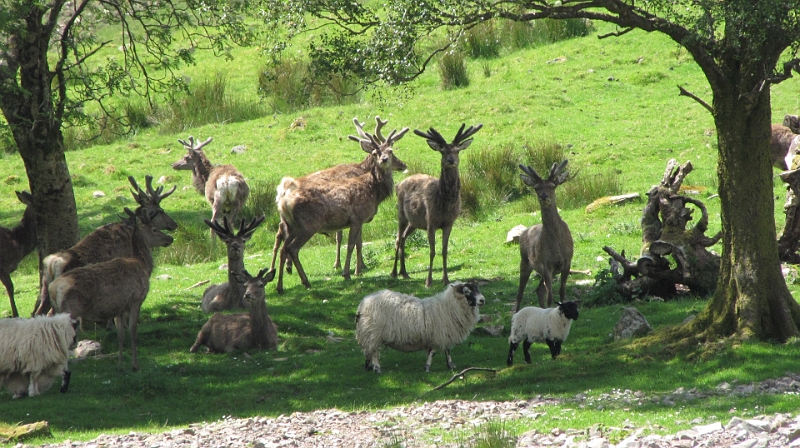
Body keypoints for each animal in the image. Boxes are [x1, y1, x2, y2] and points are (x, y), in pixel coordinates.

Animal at [48, 208, 173, 370]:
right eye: (154, 229)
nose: (170, 238)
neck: (142, 264)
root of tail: (53, 287)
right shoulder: (136, 300)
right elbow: (133, 332)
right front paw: (135, 365)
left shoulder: (119, 308)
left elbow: (121, 335)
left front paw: (120, 363)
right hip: (70, 309)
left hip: (58, 309)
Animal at [276, 125, 412, 294]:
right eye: (375, 153)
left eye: (390, 150)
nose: (384, 159)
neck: (374, 191)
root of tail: (283, 200)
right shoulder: (357, 218)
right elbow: (351, 245)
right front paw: (348, 273)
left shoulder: (357, 221)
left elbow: (356, 243)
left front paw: (355, 270)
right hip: (309, 224)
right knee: (292, 248)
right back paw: (306, 282)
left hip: (291, 225)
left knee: (283, 247)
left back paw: (280, 286)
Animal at [390, 122, 482, 288]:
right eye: (443, 151)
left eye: (457, 151)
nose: (451, 160)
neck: (444, 203)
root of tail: (398, 184)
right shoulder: (431, 222)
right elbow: (432, 251)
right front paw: (428, 281)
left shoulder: (449, 223)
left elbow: (444, 250)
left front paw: (446, 280)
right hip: (401, 214)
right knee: (398, 239)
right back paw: (394, 273)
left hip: (414, 222)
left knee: (404, 237)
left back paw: (404, 273)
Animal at [516, 159, 572, 314]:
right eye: (536, 188)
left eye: (552, 186)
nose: (544, 196)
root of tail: (524, 232)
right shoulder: (546, 264)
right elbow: (550, 296)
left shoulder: (567, 261)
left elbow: (562, 292)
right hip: (525, 261)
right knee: (520, 292)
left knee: (539, 289)